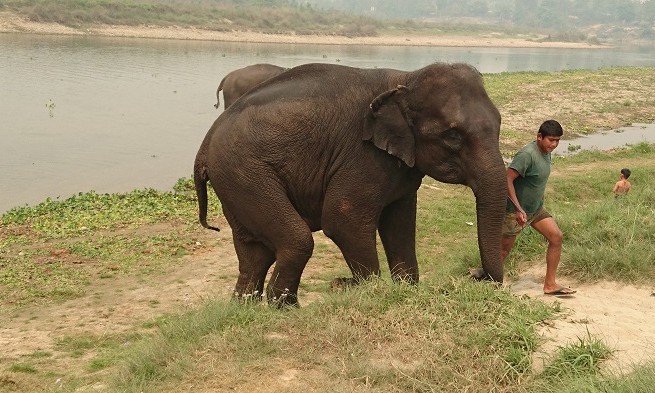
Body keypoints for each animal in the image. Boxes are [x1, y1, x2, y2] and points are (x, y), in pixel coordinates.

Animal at [195, 62, 508, 306]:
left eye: (498, 125)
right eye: (452, 136)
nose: (476, 273)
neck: (405, 79)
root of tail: (205, 143)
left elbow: (399, 224)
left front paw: (406, 288)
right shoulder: (361, 157)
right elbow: (344, 220)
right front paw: (365, 289)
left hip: (235, 181)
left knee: (254, 252)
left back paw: (246, 307)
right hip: (244, 172)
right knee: (296, 240)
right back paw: (283, 308)